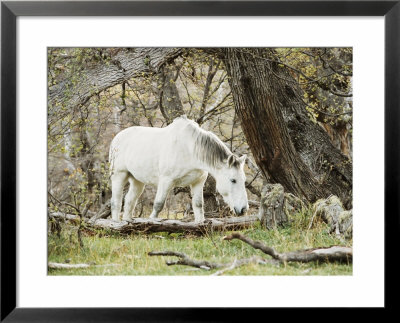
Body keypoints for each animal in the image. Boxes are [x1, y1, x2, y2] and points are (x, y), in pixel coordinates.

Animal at [108, 115, 248, 224]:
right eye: (233, 180)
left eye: (244, 180)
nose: (243, 209)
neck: (189, 149)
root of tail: (117, 138)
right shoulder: (166, 181)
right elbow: (158, 205)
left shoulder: (198, 182)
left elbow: (198, 205)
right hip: (119, 175)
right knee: (116, 201)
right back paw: (115, 224)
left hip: (137, 181)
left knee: (130, 200)